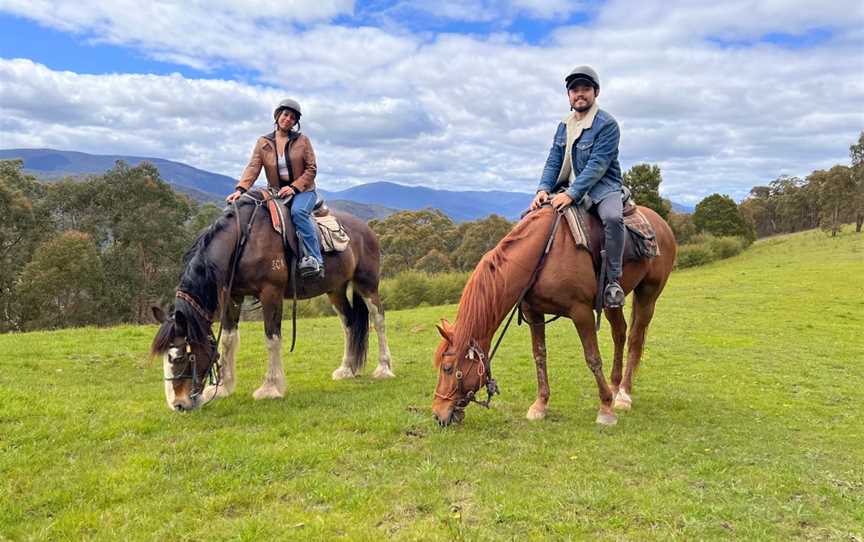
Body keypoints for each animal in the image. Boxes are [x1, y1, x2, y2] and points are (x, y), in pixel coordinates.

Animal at [150, 196, 394, 412]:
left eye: (181, 357)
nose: (178, 405)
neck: (242, 242)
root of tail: (366, 229)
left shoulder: (271, 293)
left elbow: (271, 337)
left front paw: (270, 388)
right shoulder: (231, 295)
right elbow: (228, 338)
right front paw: (223, 387)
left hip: (367, 284)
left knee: (378, 319)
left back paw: (383, 368)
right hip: (336, 289)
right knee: (349, 324)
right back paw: (346, 369)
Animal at [432, 206, 676, 428]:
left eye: (448, 368)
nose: (437, 414)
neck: (541, 255)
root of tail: (660, 222)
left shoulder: (581, 312)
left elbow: (593, 358)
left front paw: (605, 408)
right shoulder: (534, 313)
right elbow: (539, 355)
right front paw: (540, 405)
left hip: (648, 294)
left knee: (635, 338)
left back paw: (623, 394)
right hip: (612, 302)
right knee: (620, 333)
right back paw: (615, 387)